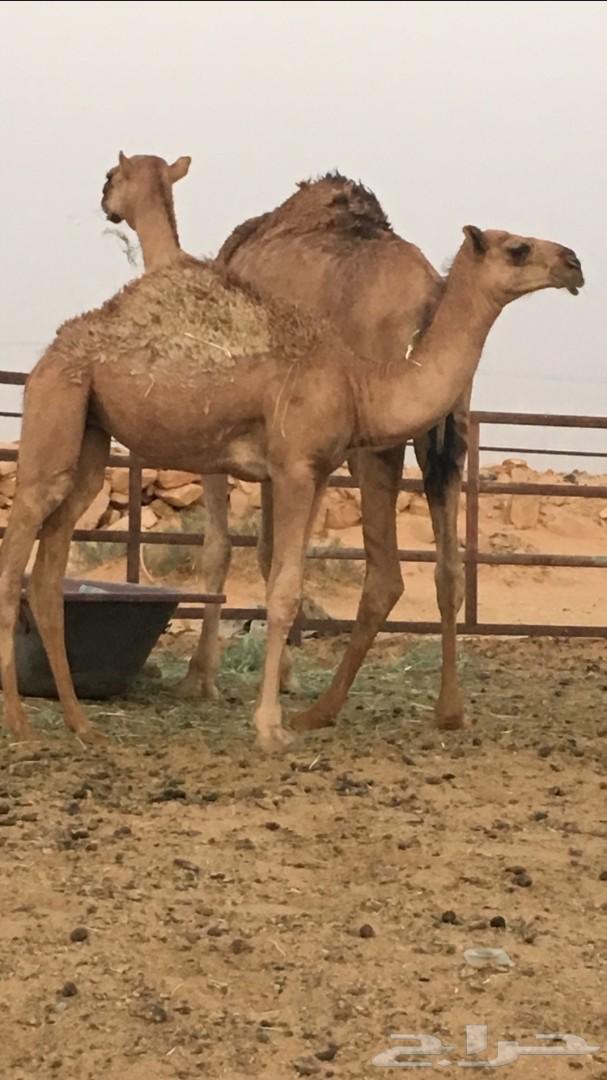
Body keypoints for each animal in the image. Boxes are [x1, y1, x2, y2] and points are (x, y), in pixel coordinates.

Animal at [0, 170, 582, 750]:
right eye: (517, 248)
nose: (573, 262)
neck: (360, 383)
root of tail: (53, 351)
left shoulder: (314, 470)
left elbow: (287, 582)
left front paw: (268, 706)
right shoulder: (292, 467)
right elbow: (275, 586)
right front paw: (267, 724)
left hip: (90, 437)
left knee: (48, 571)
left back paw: (81, 723)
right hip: (58, 407)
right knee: (19, 546)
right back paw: (24, 723)